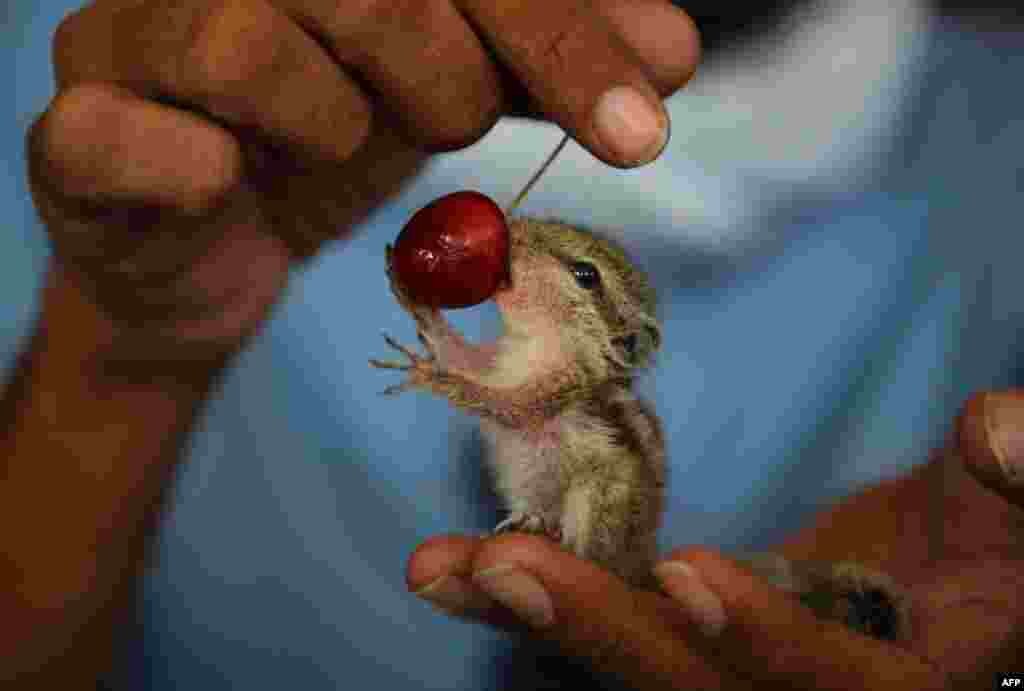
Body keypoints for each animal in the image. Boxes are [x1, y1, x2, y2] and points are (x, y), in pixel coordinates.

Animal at [372, 217, 909, 642]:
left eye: (585, 274)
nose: (513, 227)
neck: (539, 344)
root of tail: (640, 563)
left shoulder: (552, 392)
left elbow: (501, 403)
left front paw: (431, 375)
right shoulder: (500, 363)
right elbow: (466, 359)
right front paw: (416, 302)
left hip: (602, 495)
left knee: (594, 554)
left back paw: (553, 538)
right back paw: (531, 521)